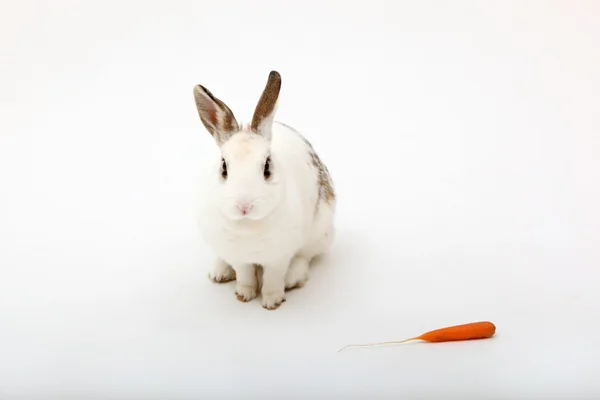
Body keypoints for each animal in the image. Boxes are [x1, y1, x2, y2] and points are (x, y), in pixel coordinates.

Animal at [195, 71, 338, 310]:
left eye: (267, 167)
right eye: (223, 167)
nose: (244, 206)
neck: (248, 226)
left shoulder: (278, 257)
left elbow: (273, 277)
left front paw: (272, 302)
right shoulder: (239, 257)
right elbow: (244, 275)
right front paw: (244, 295)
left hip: (321, 232)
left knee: (305, 256)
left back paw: (293, 278)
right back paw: (219, 273)